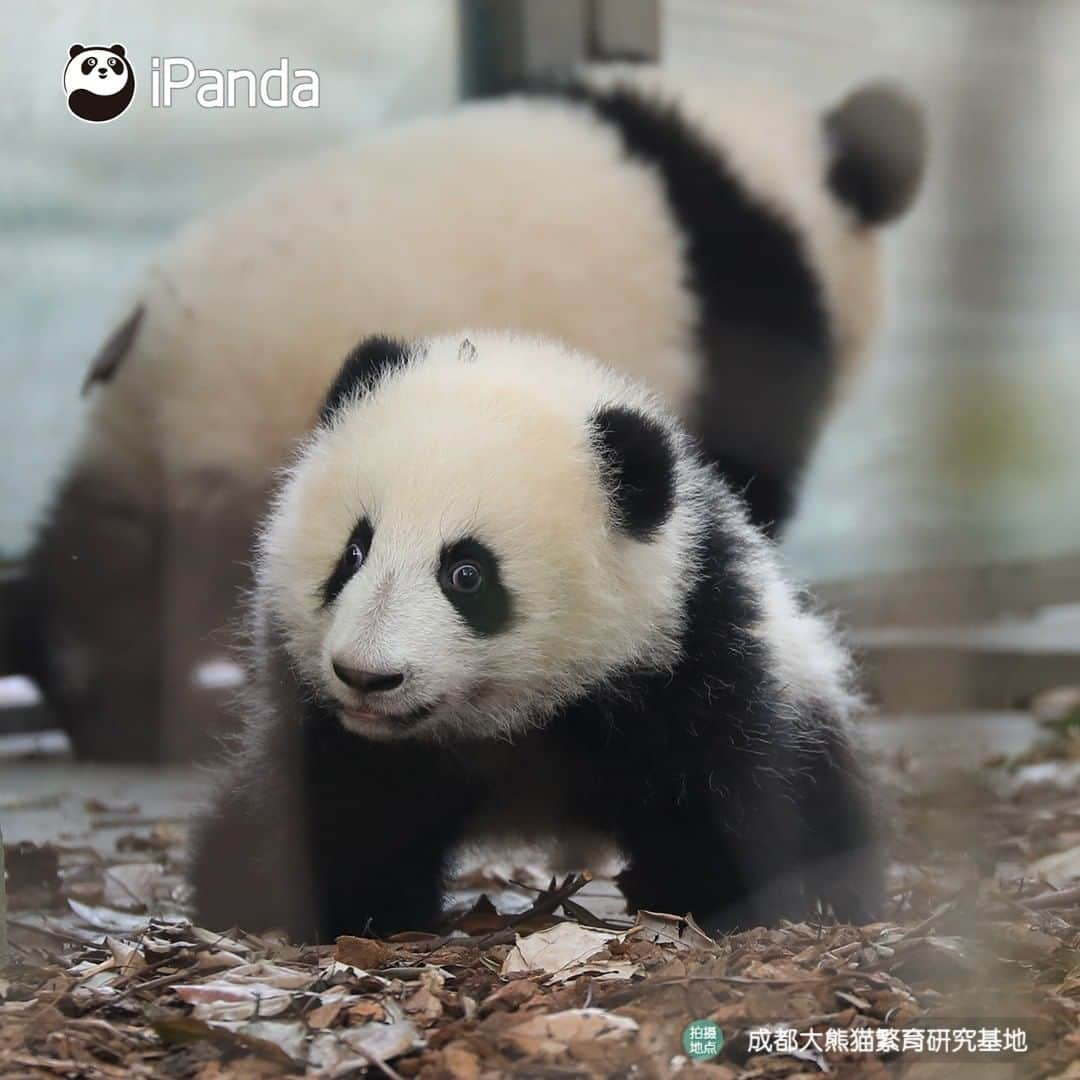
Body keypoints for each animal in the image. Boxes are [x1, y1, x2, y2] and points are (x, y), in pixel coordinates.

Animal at [192, 332, 885, 941]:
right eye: (354, 551)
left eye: (466, 574)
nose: (367, 675)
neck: (512, 718)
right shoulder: (328, 719)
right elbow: (347, 802)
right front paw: (359, 908)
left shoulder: (690, 647)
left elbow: (716, 789)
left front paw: (702, 893)